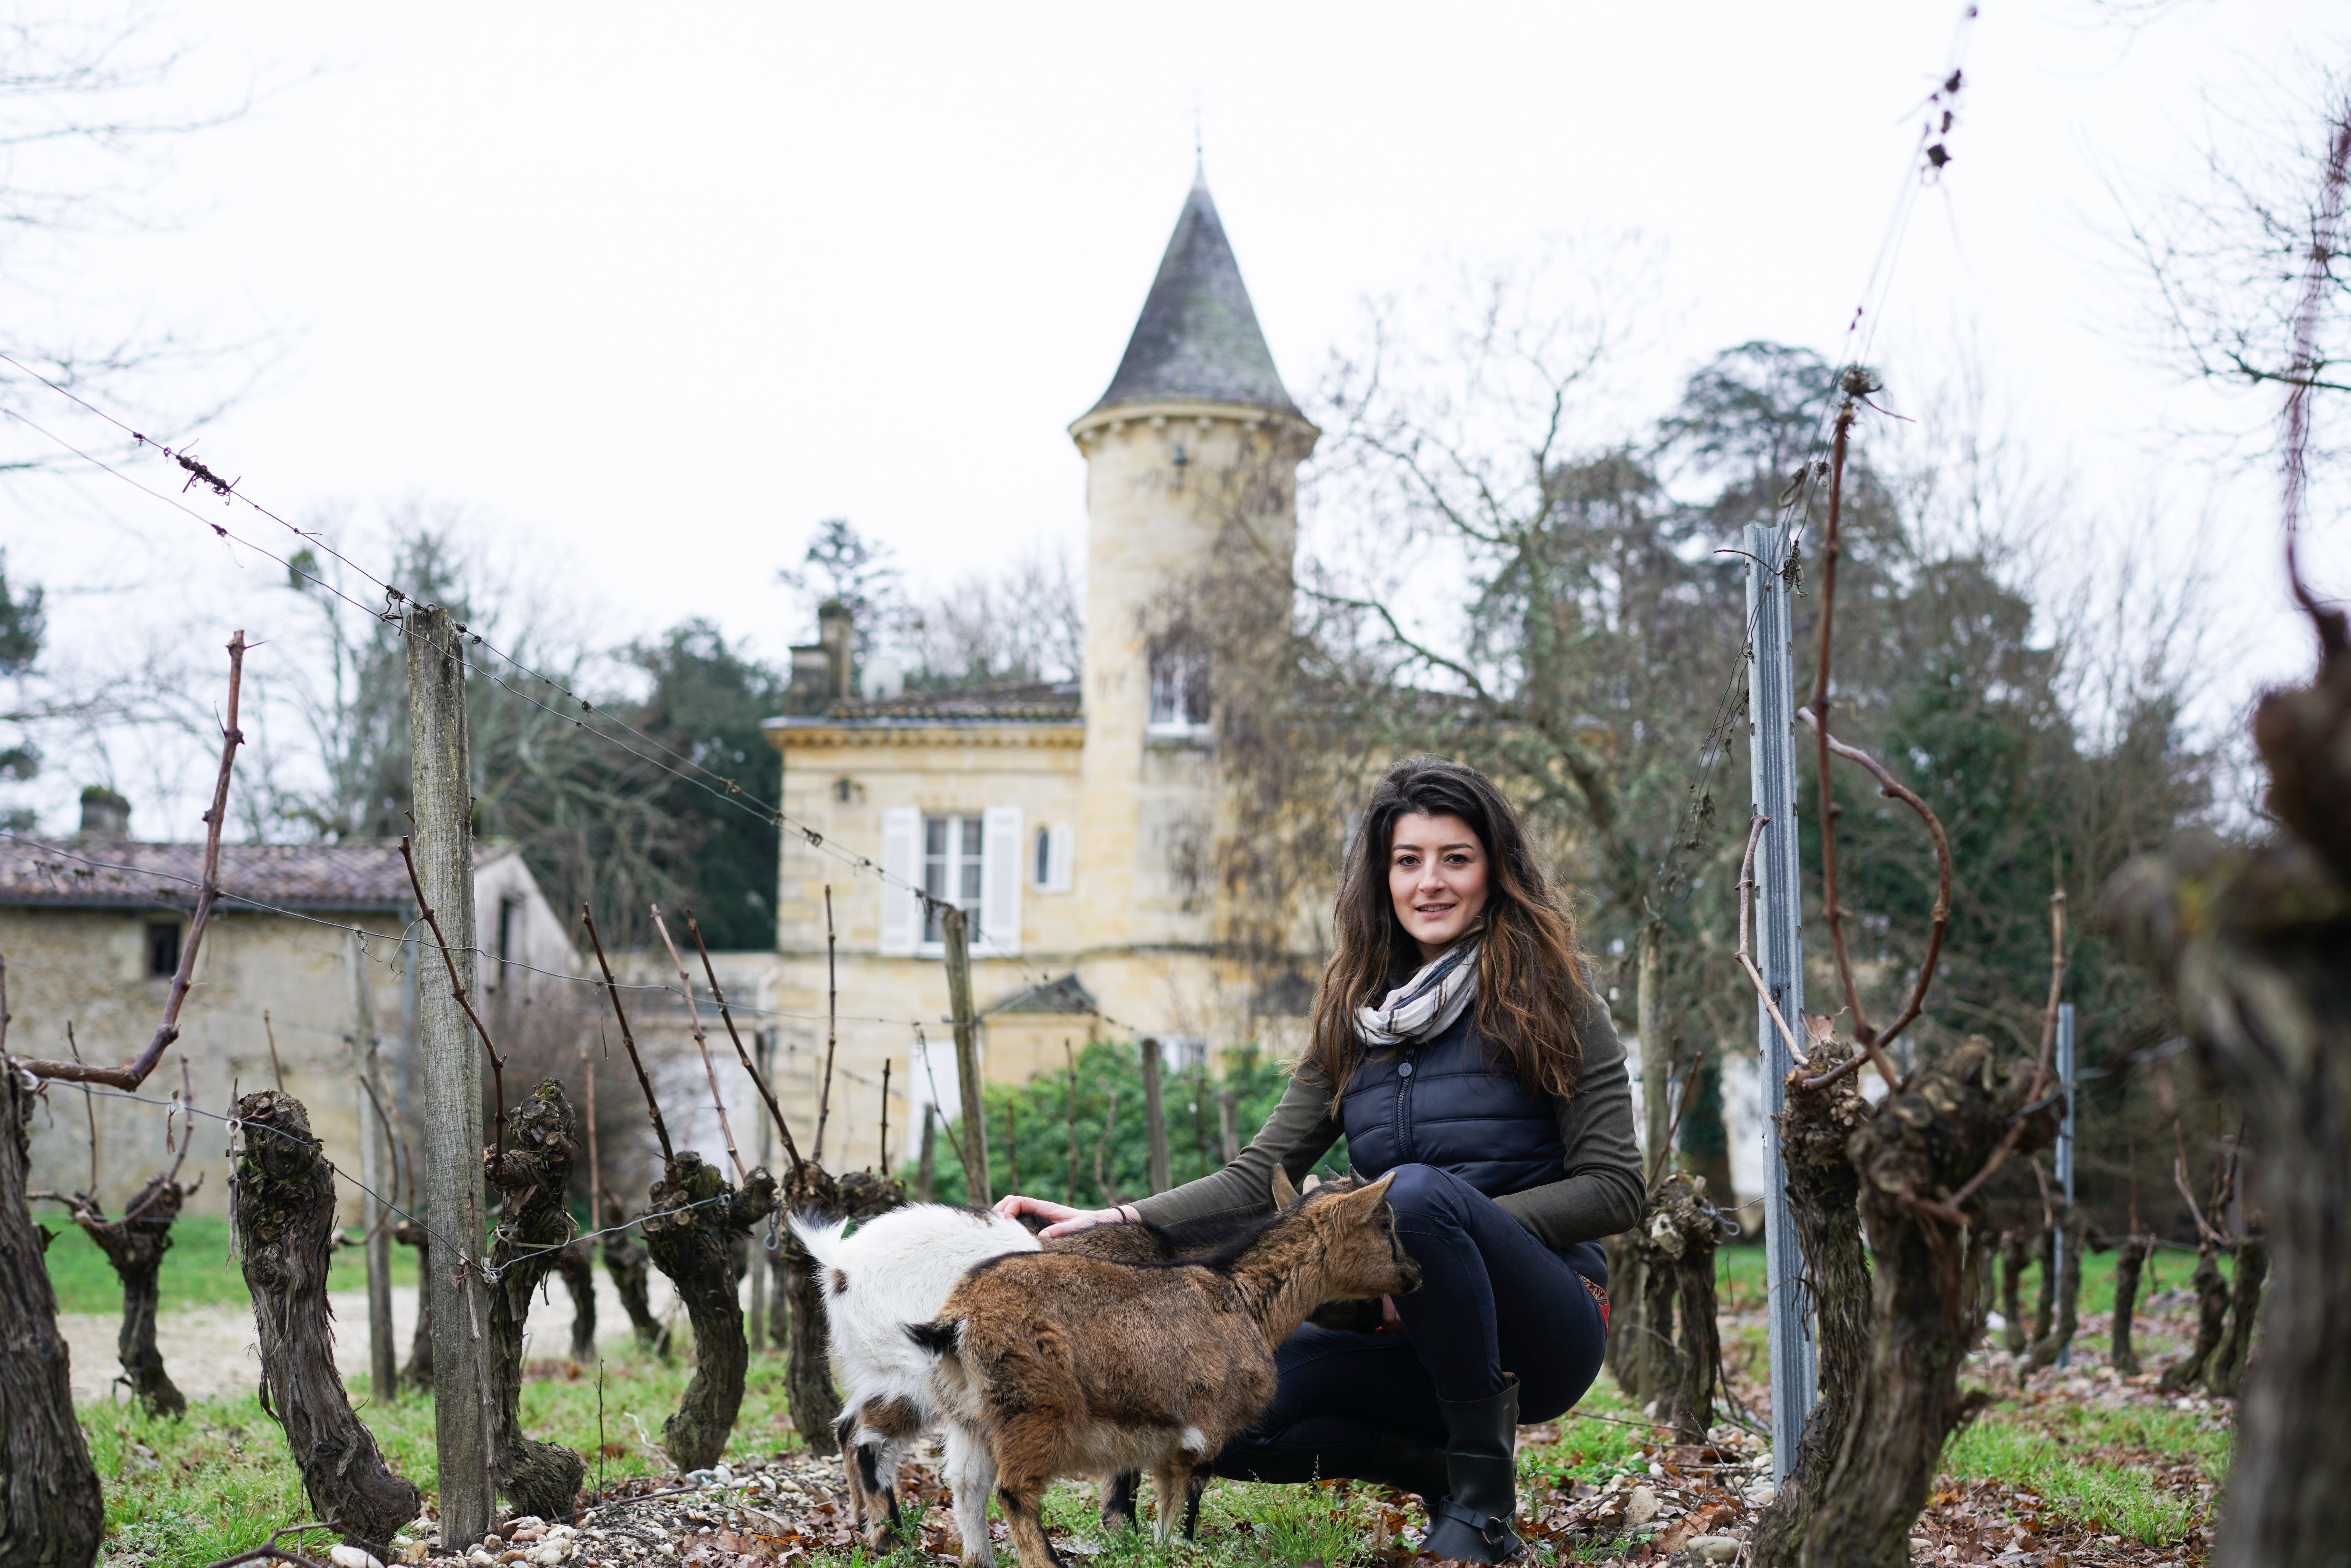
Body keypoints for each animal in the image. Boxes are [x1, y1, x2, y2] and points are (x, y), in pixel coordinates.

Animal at [912, 1175, 1410, 1568]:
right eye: (1385, 1224)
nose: (1415, 1272)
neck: (1241, 1296)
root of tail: (958, 1319)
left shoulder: (1162, 1432)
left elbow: (1160, 1499)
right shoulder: (1205, 1425)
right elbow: (1185, 1501)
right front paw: (1178, 1552)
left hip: (969, 1416)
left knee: (968, 1486)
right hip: (1037, 1408)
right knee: (1014, 1490)